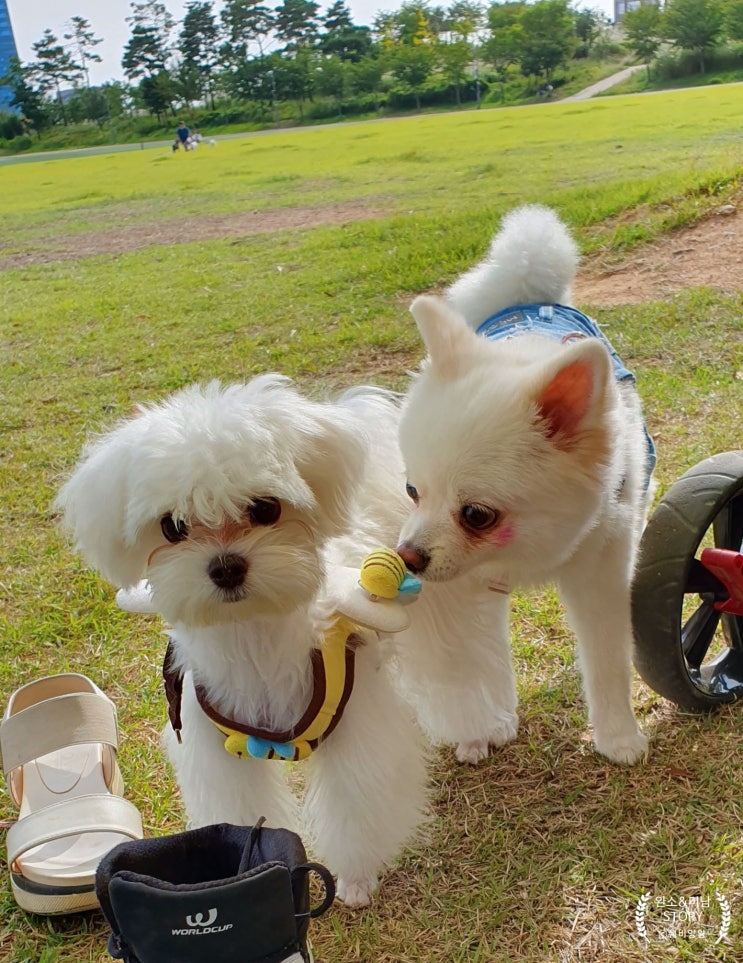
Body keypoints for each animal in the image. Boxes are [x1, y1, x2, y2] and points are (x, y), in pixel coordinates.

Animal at [56, 376, 430, 912]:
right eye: (173, 526)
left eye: (265, 508)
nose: (226, 565)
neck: (253, 635)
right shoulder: (214, 749)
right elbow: (239, 812)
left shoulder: (359, 727)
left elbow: (356, 802)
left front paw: (356, 878)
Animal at [396, 205, 656, 768]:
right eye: (412, 491)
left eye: (477, 514)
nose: (408, 556)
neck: (529, 555)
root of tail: (527, 295)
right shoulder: (471, 583)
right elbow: (481, 660)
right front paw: (485, 728)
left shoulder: (600, 573)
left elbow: (608, 660)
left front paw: (618, 736)